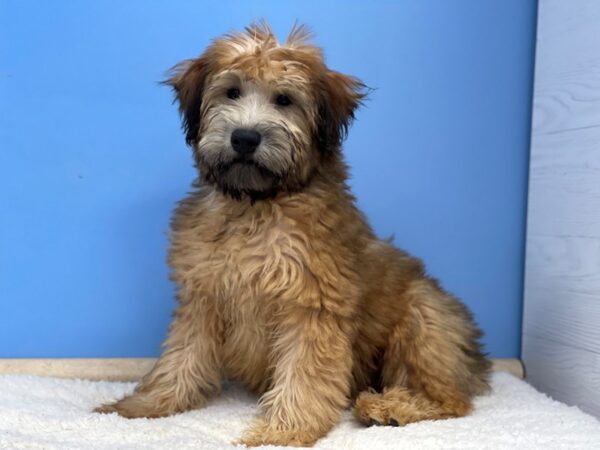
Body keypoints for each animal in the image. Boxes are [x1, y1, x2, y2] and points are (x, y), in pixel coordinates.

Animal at [95, 23, 492, 446]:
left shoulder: (312, 303)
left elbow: (305, 373)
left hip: (423, 316)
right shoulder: (204, 296)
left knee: (452, 399)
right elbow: (181, 356)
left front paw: (282, 431)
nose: (245, 138)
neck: (256, 204)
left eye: (284, 100)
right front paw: (143, 405)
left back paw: (388, 408)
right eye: (232, 92)